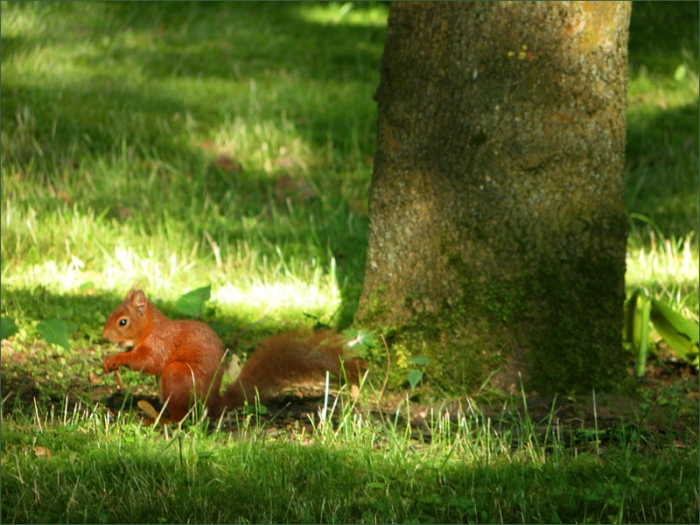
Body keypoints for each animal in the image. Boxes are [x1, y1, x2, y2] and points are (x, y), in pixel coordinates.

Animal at [101, 289, 364, 423]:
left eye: (123, 322)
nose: (104, 336)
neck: (149, 328)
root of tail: (211, 402)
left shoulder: (161, 343)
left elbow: (150, 362)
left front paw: (115, 359)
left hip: (177, 375)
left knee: (183, 416)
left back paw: (164, 420)